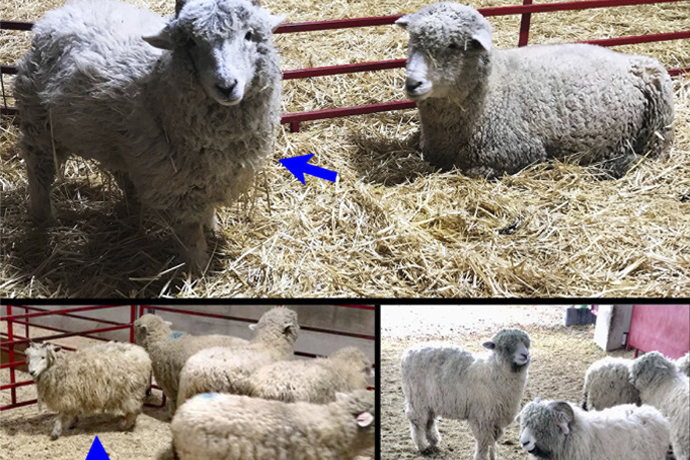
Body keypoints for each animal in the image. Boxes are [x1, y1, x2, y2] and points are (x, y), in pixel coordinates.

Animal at [12, 0, 285, 271]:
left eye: (249, 35)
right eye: (191, 42)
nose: (226, 86)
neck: (156, 84)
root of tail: (58, 13)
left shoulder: (209, 177)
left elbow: (206, 211)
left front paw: (212, 230)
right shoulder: (173, 187)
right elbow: (190, 233)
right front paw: (196, 268)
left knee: (120, 171)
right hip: (39, 124)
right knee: (39, 168)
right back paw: (43, 216)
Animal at [395, 2, 674, 179]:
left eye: (453, 45)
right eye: (413, 40)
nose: (413, 83)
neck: (490, 96)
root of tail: (626, 57)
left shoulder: (522, 153)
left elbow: (478, 172)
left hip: (659, 120)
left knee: (653, 153)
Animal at [401, 328, 531, 460]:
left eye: (526, 344)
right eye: (505, 347)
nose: (525, 355)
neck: (493, 371)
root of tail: (407, 352)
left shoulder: (495, 418)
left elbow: (492, 442)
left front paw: (493, 456)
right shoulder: (482, 417)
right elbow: (484, 442)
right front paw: (481, 457)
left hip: (431, 401)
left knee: (428, 421)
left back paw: (434, 440)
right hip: (416, 397)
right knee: (417, 421)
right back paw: (422, 446)